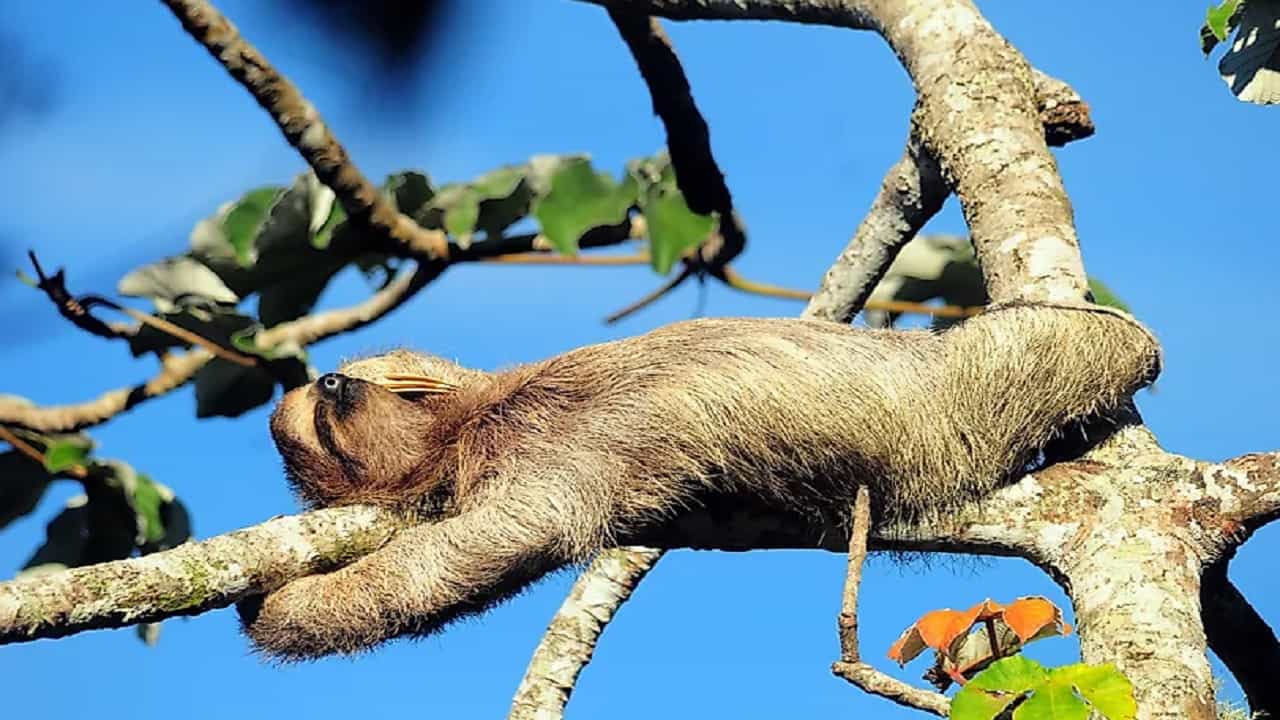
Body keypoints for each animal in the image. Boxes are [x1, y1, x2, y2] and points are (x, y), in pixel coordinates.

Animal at [239, 302, 1160, 660]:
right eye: (322, 425)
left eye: (330, 403)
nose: (333, 384)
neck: (475, 424)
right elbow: (476, 558)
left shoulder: (529, 443)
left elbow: (488, 539)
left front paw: (275, 607)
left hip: (941, 393)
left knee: (1044, 344)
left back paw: (1125, 334)